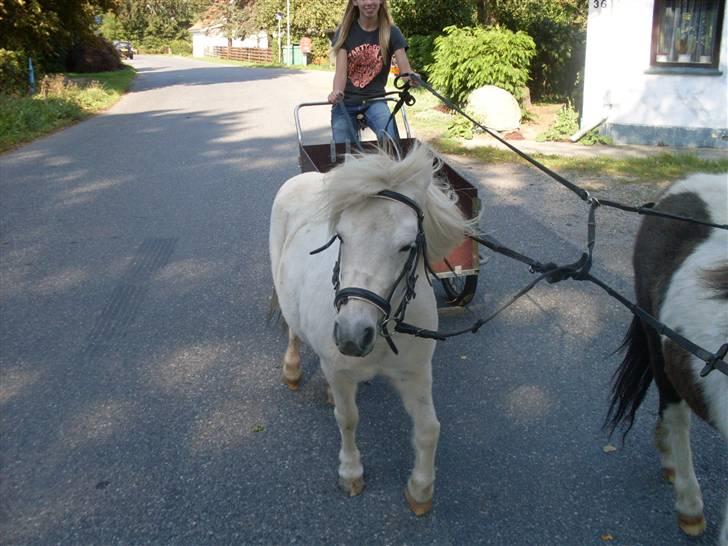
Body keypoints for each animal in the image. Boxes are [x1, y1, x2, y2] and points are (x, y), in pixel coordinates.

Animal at [270, 142, 474, 512]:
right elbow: (347, 418)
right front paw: (351, 473)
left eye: (408, 245)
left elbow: (428, 428)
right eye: (341, 236)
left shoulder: (416, 373)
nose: (352, 335)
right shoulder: (340, 370)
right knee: (293, 330)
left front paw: (420, 490)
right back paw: (292, 370)